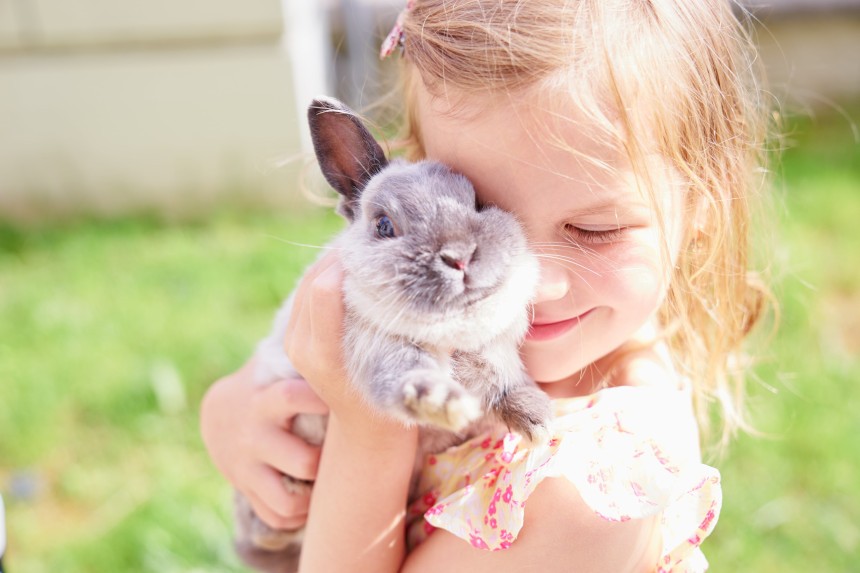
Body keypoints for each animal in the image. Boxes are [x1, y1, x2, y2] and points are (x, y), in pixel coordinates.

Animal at [233, 98, 552, 572]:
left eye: (479, 201)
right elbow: (409, 375)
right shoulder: (381, 348)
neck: (451, 325)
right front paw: (443, 404)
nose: (459, 257)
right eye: (384, 226)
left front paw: (538, 420)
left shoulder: (494, 353)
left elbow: (505, 381)